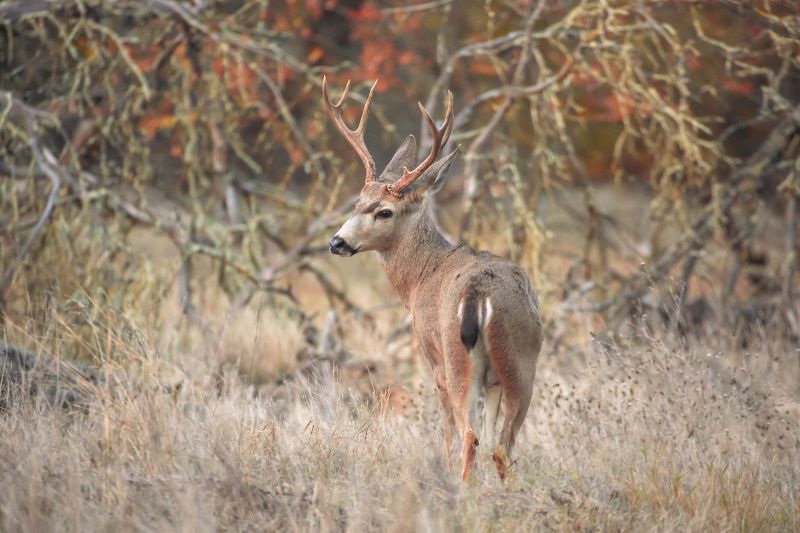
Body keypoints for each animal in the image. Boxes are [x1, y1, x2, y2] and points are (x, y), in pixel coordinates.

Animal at [322, 77, 540, 480]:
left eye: (385, 211)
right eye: (356, 203)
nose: (337, 242)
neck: (420, 277)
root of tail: (478, 294)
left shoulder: (431, 354)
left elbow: (448, 432)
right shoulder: (495, 380)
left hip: (457, 358)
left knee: (469, 434)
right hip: (521, 361)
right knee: (502, 444)